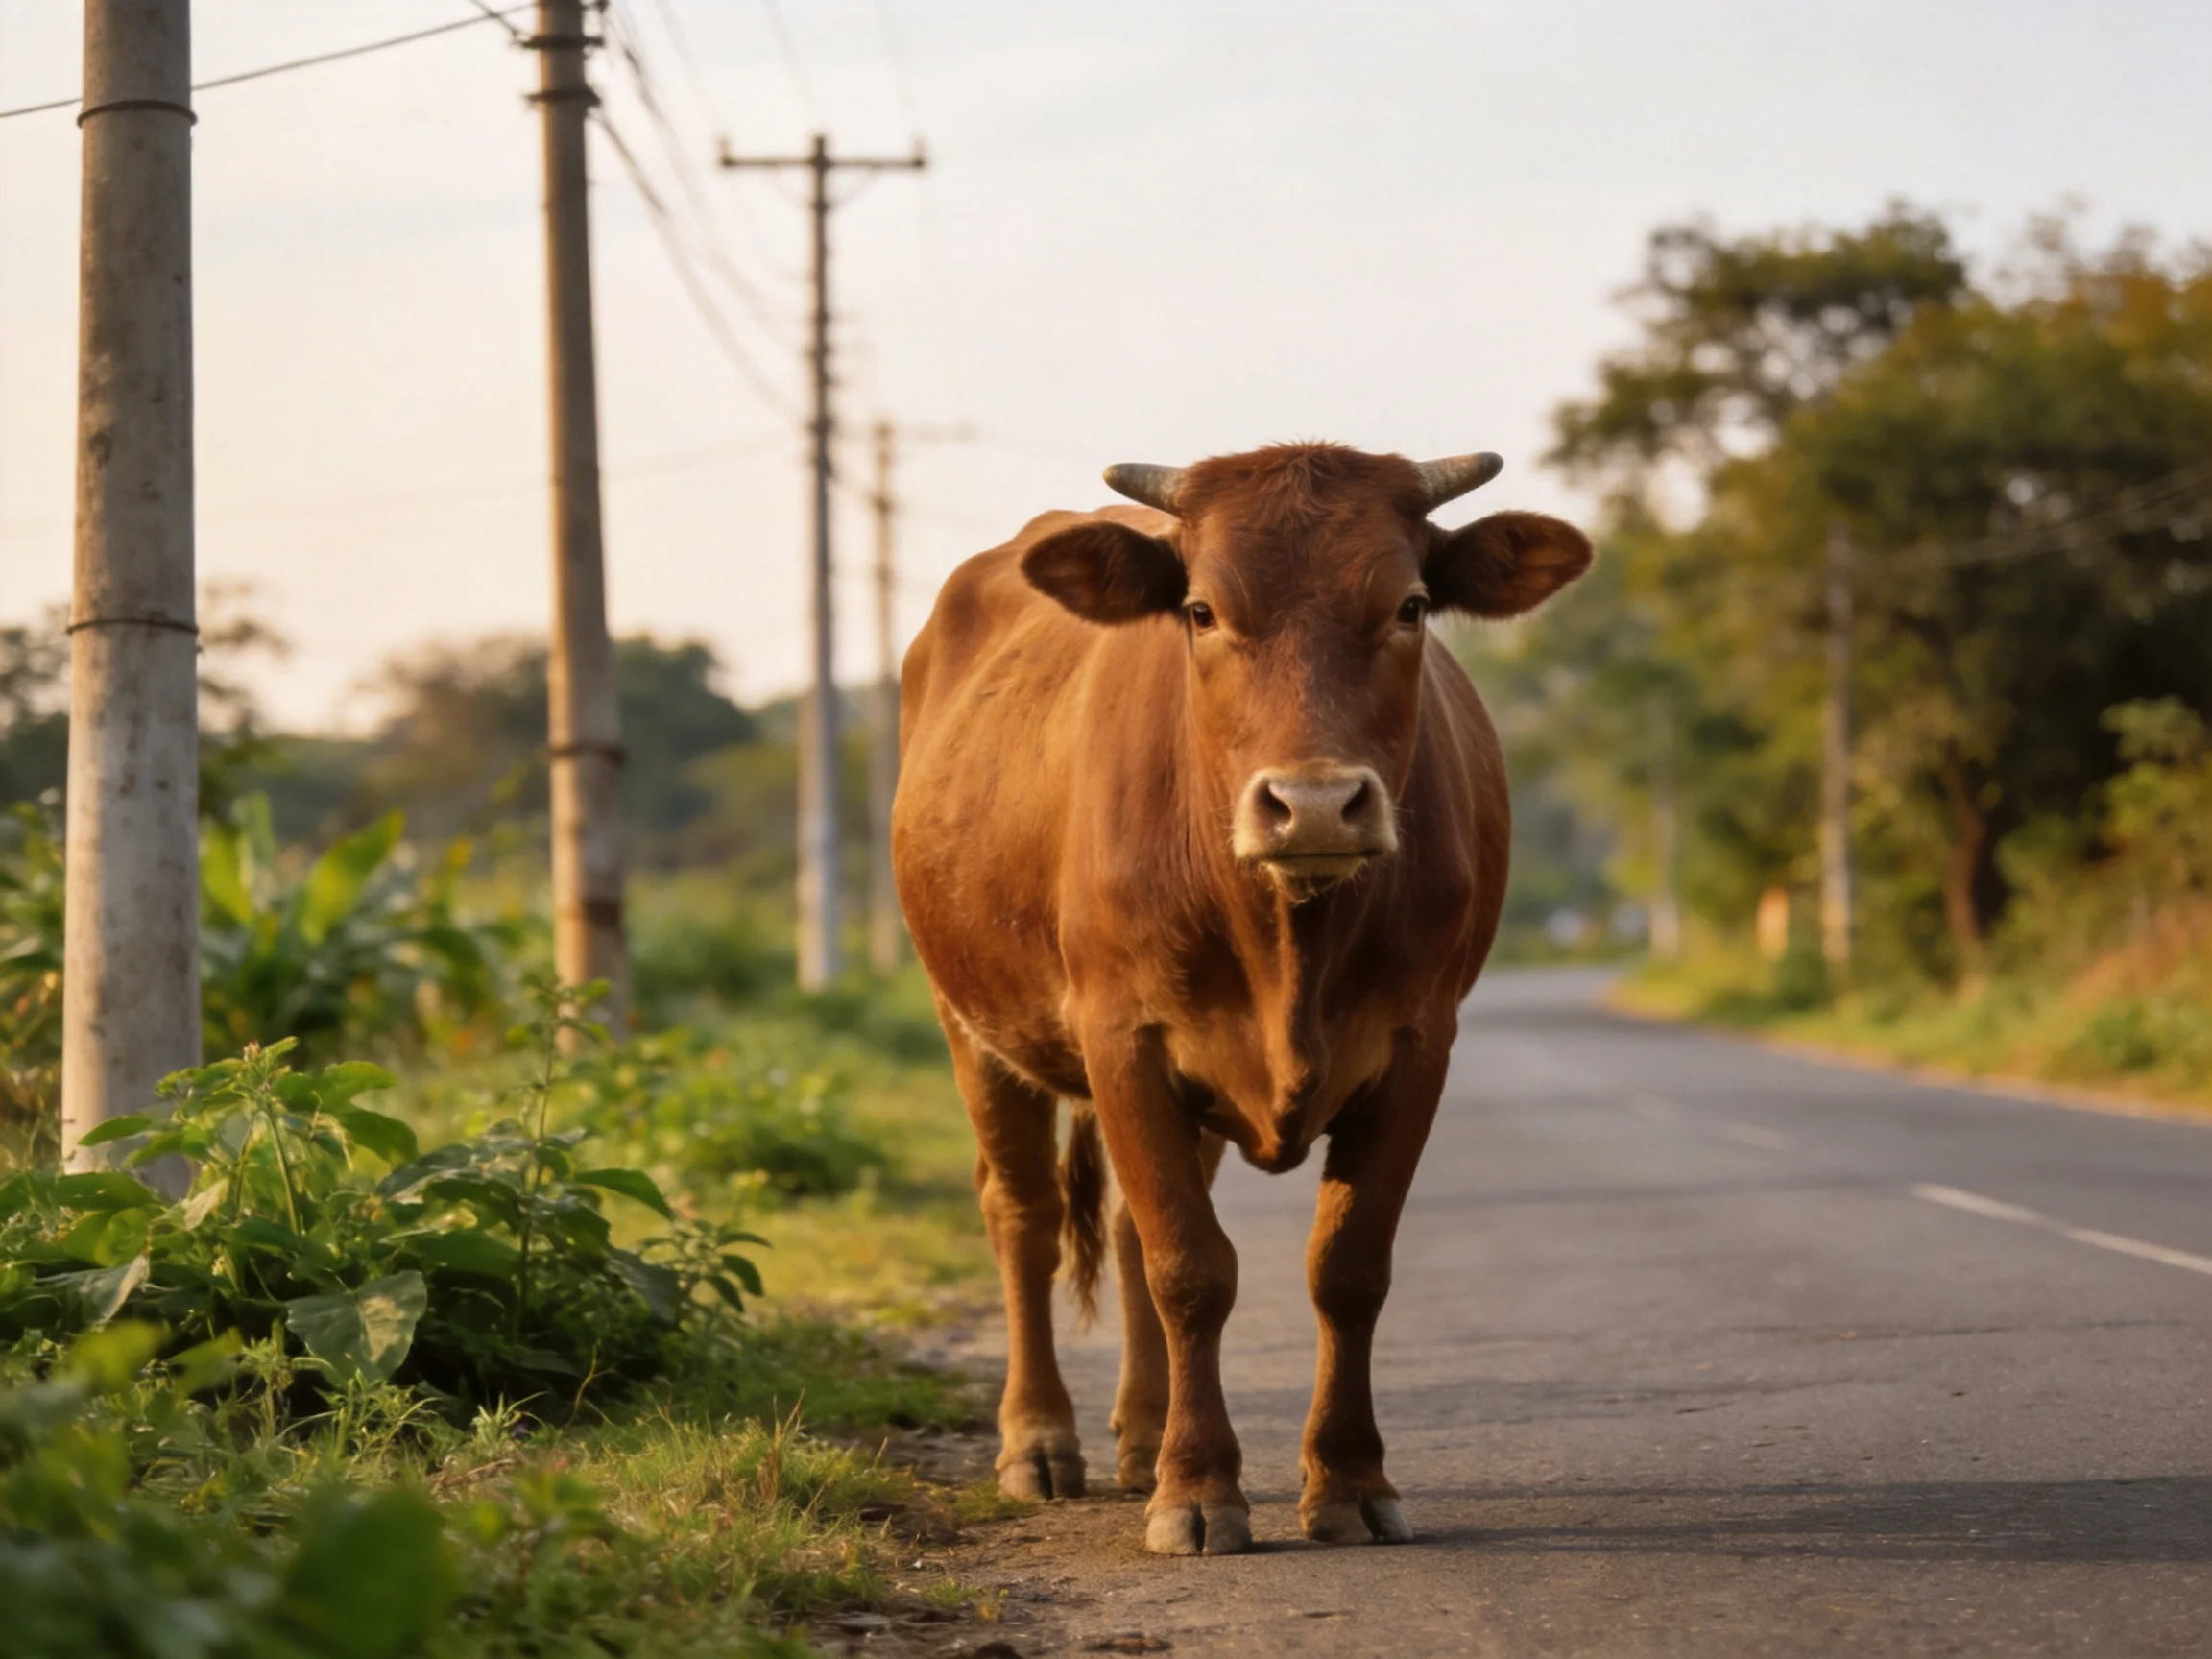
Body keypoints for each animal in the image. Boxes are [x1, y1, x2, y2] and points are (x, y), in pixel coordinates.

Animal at [892, 442, 1591, 1555]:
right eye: (1203, 611)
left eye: (1409, 605)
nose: (1314, 804)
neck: (1287, 941)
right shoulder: (1123, 1039)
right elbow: (1192, 1269)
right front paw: (1198, 1491)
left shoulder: (1418, 1044)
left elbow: (1346, 1267)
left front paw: (1347, 1480)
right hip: (971, 1023)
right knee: (1025, 1214)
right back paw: (1040, 1442)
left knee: (1122, 1228)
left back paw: (1141, 1438)